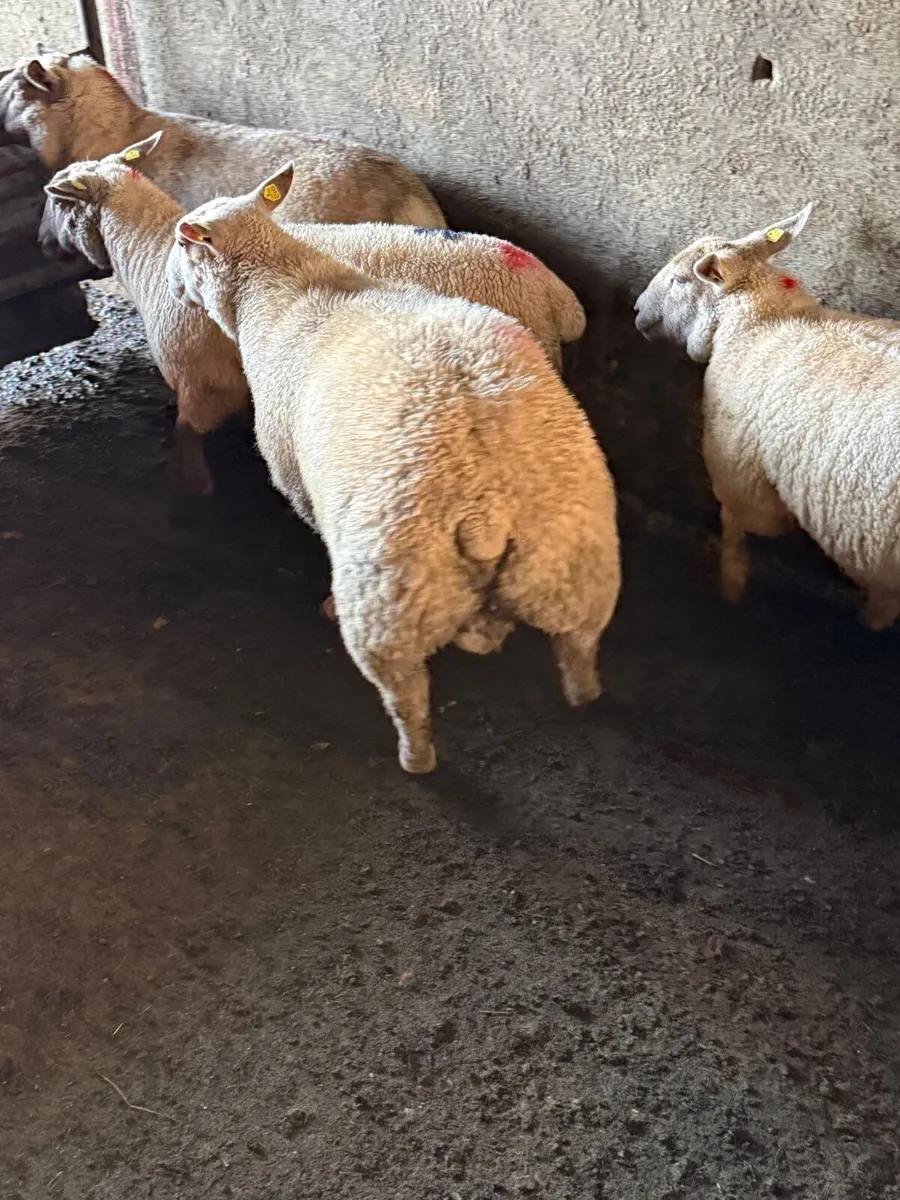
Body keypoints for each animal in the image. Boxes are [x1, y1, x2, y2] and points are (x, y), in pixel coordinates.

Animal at [167, 163, 621, 773]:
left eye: (181, 245)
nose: (172, 286)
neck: (284, 286)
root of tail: (487, 509)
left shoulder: (295, 474)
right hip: (574, 568)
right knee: (580, 654)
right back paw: (579, 693)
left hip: (390, 602)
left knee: (405, 695)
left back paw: (414, 754)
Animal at [634, 203, 900, 630]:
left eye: (679, 280)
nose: (638, 310)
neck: (761, 323)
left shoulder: (742, 477)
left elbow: (735, 527)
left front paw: (730, 586)